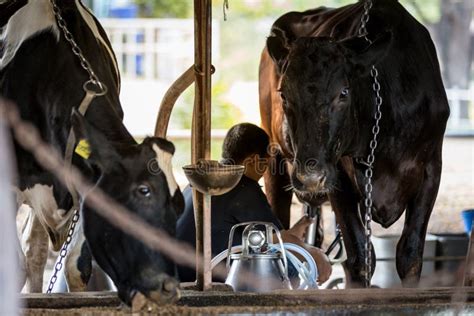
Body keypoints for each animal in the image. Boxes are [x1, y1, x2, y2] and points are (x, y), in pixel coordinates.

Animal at [260, 0, 448, 286]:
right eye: (284, 94)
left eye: (343, 92)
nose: (310, 176)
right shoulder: (338, 176)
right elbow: (360, 257)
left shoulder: (431, 169)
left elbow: (410, 254)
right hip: (275, 158)